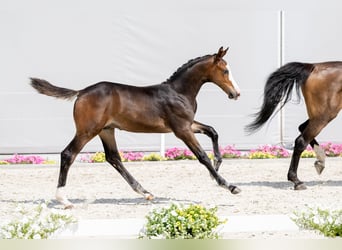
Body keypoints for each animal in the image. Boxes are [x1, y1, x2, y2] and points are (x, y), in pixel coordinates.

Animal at [30, 47, 242, 209]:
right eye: (225, 71)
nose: (236, 93)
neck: (179, 92)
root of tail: (81, 92)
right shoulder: (182, 129)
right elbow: (201, 156)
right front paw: (228, 185)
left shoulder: (188, 125)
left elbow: (212, 131)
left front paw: (217, 165)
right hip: (88, 131)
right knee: (68, 154)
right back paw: (64, 200)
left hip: (106, 130)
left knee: (113, 158)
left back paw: (145, 192)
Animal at [246, 61, 342, 190]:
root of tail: (313, 66)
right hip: (324, 115)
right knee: (301, 140)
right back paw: (297, 181)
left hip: (319, 115)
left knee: (301, 128)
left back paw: (319, 162)